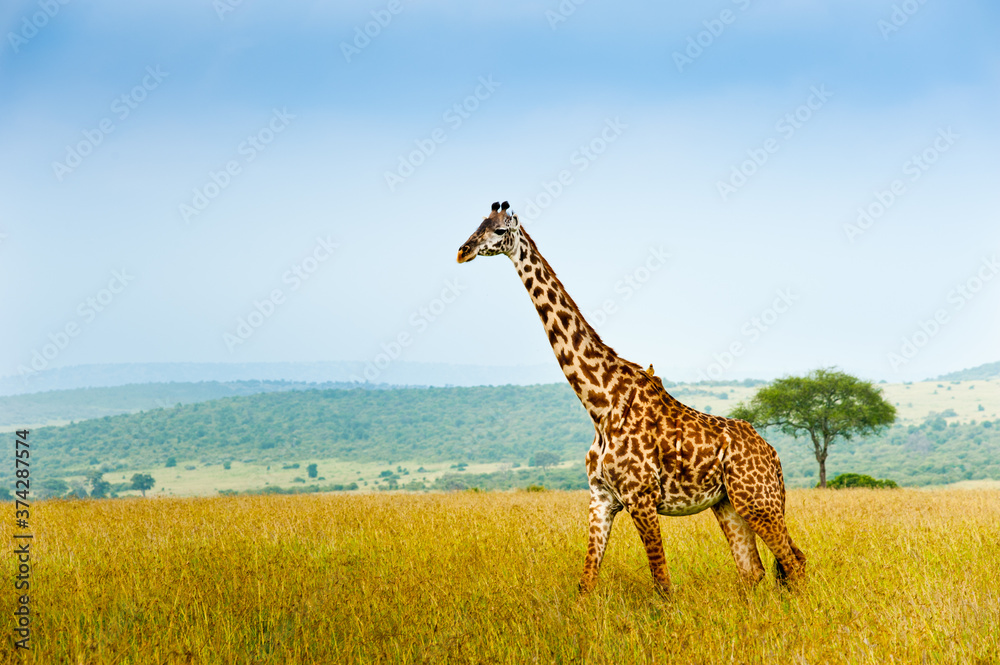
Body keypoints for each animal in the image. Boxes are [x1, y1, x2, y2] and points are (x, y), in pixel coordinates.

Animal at [457, 201, 806, 595]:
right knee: (753, 571)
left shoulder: (641, 498)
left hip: (758, 500)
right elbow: (586, 581)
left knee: (794, 562)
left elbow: (662, 583)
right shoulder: (601, 498)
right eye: (477, 225)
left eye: (500, 231)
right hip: (729, 503)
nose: (463, 251)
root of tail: (773, 454)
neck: (600, 404)